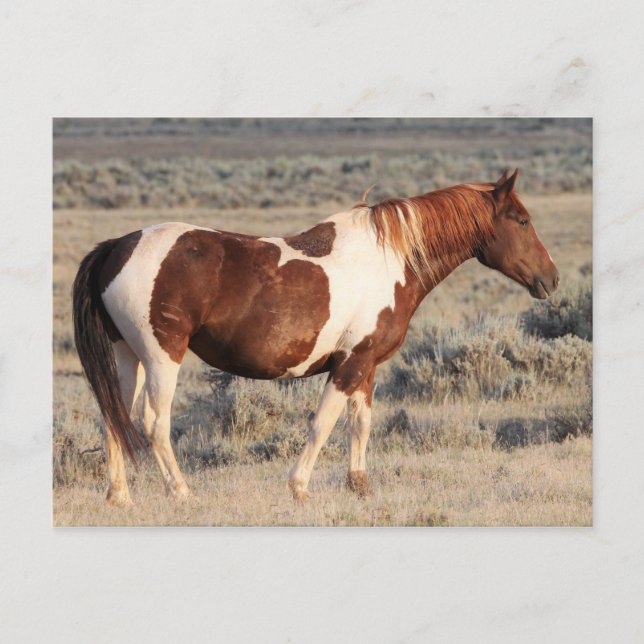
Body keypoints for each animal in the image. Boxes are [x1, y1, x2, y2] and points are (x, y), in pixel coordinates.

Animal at [72, 169, 559, 505]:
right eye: (521, 220)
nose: (551, 279)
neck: (389, 261)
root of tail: (118, 246)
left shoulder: (365, 365)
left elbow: (360, 424)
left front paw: (359, 486)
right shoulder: (349, 365)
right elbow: (322, 424)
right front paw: (300, 487)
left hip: (127, 355)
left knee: (114, 416)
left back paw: (120, 496)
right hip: (162, 357)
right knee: (154, 422)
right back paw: (180, 491)